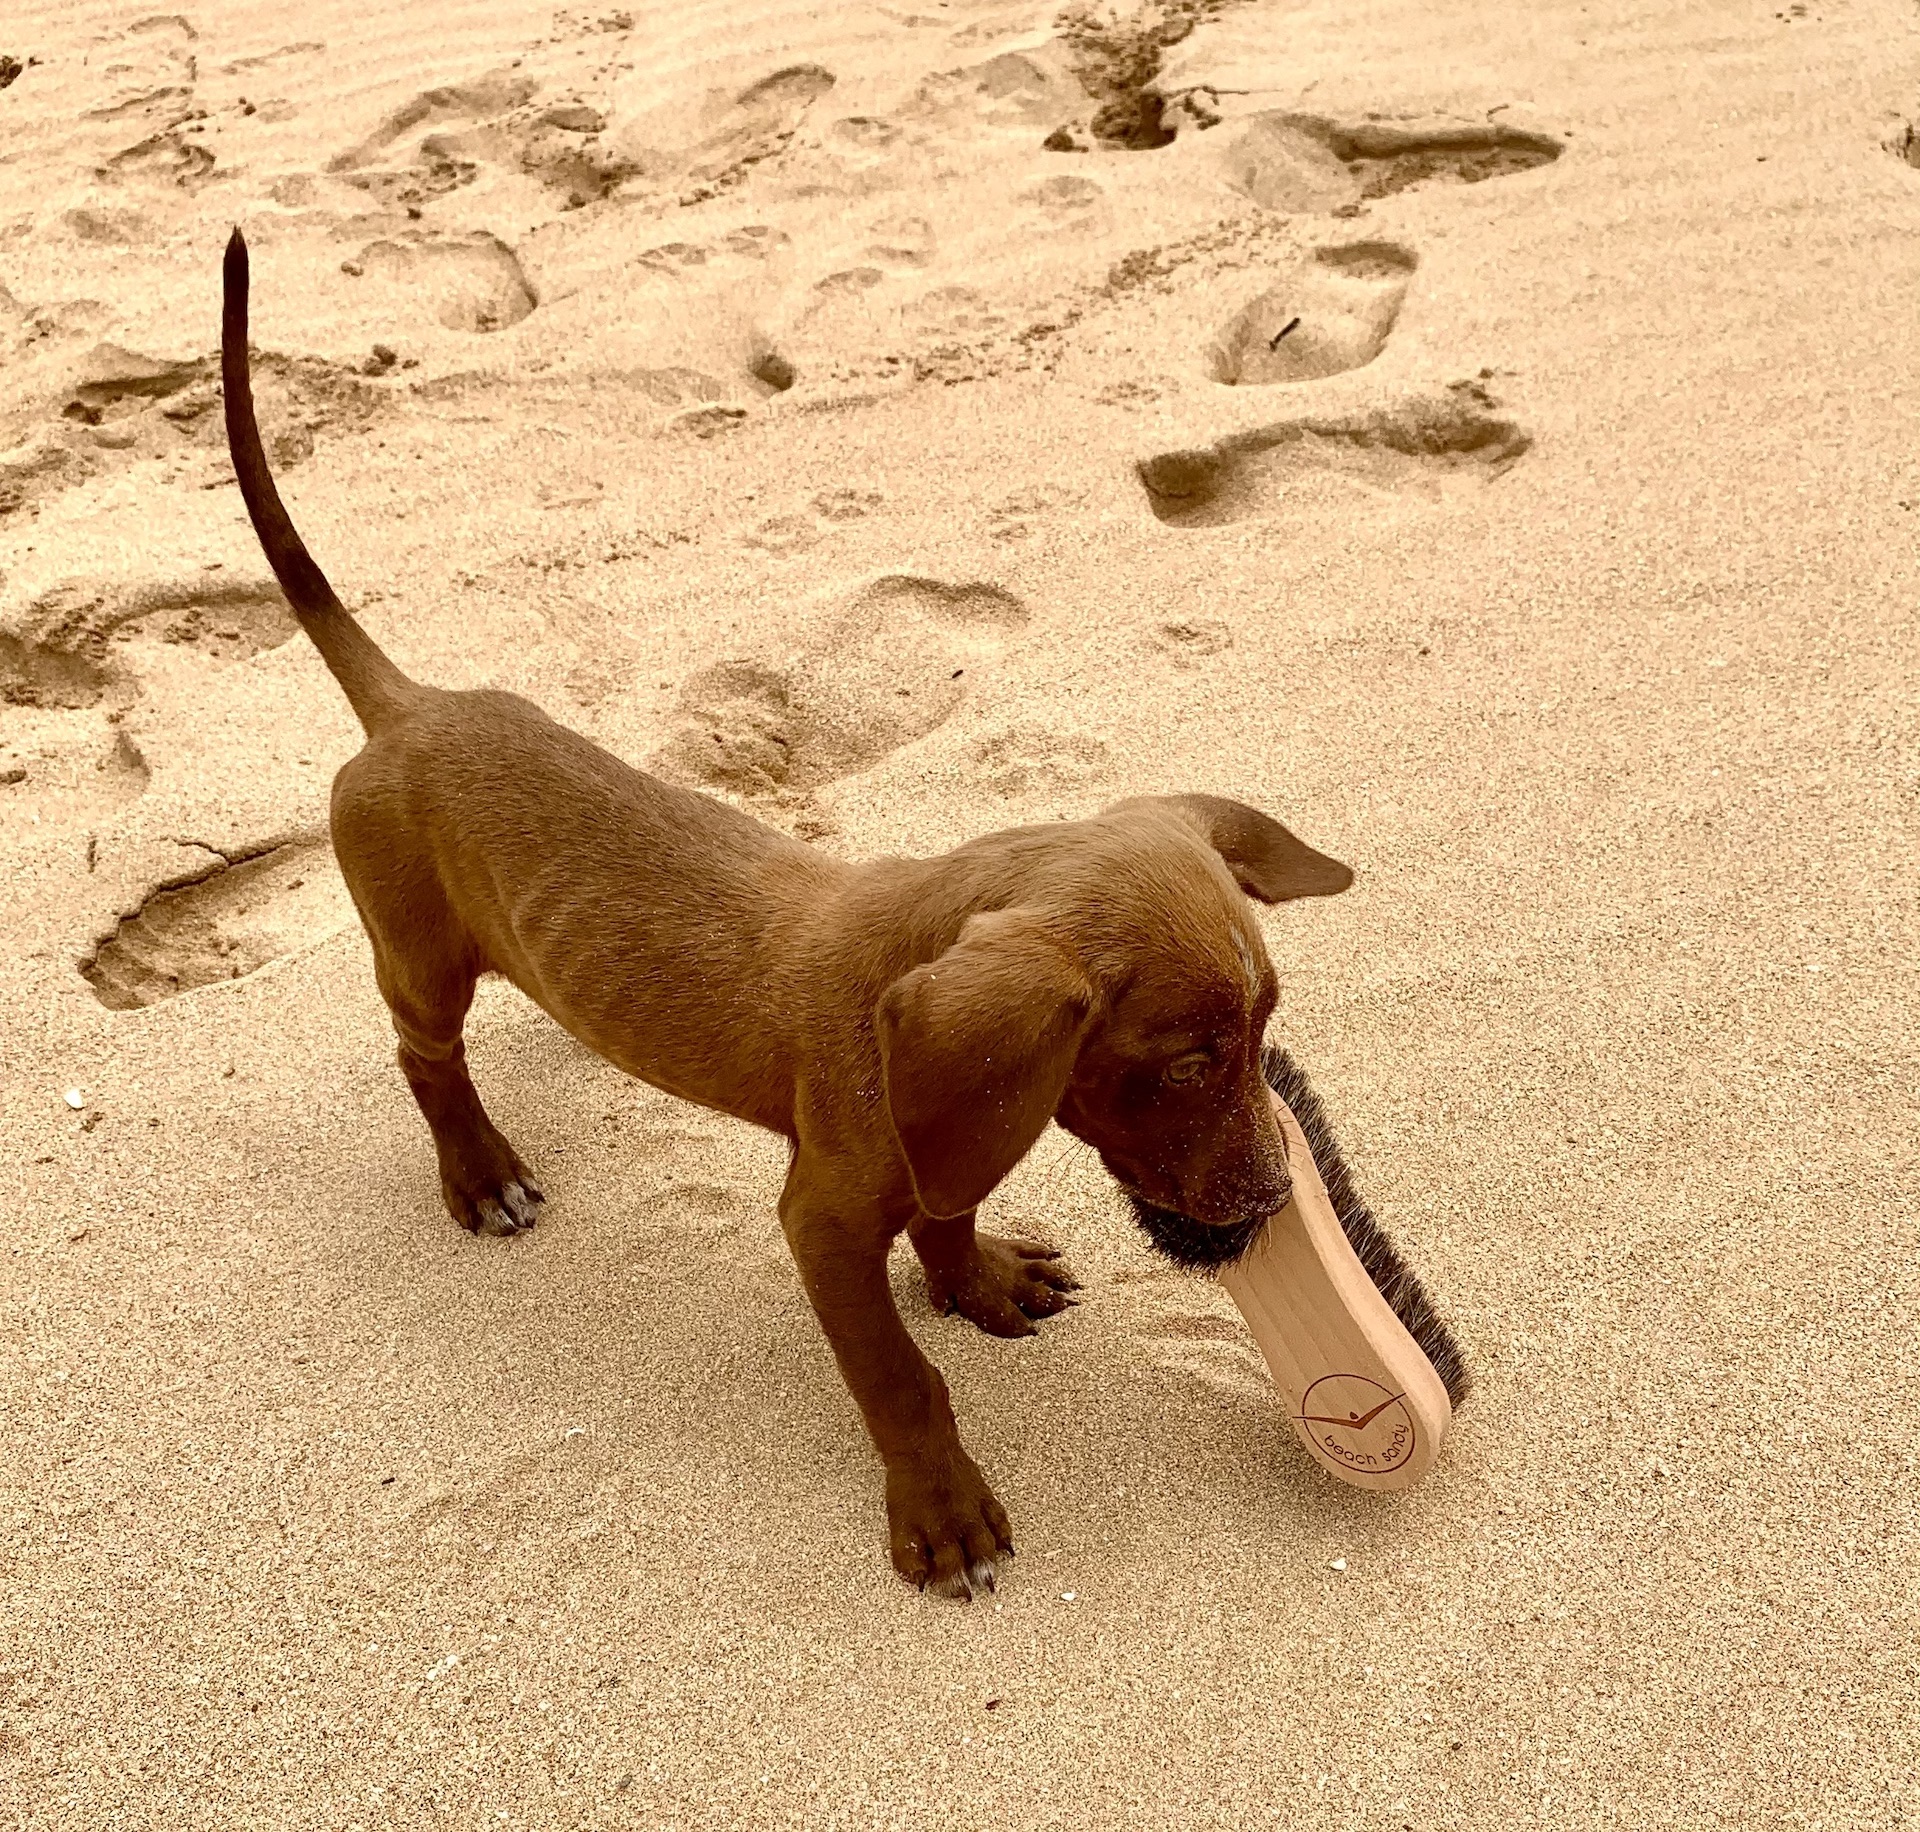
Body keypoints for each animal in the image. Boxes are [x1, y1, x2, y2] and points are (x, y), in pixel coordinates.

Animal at [220, 232, 1351, 1597]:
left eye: (1267, 1028)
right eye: (1185, 1062)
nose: (1275, 1203)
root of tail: (408, 708)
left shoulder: (947, 1137)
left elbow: (951, 1212)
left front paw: (978, 1279)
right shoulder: (821, 1225)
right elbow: (904, 1381)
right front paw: (941, 1510)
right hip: (419, 950)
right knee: (423, 1050)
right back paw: (480, 1170)